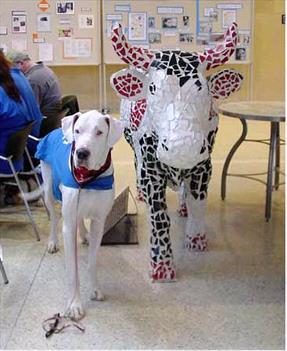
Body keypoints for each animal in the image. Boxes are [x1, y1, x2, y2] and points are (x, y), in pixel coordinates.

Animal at [35, 110, 122, 322]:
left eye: (99, 132)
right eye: (77, 131)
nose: (82, 153)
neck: (89, 178)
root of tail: (55, 130)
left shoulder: (99, 222)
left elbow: (92, 261)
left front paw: (95, 289)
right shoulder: (68, 225)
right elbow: (73, 271)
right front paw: (74, 304)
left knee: (80, 218)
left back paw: (84, 235)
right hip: (49, 189)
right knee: (54, 218)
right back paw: (52, 242)